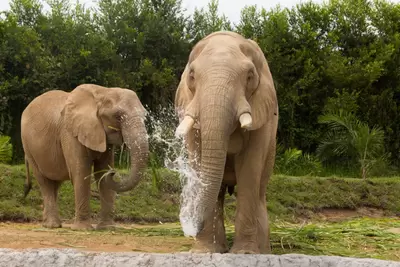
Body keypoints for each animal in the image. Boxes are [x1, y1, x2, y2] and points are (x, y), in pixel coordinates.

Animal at [21, 83, 150, 230]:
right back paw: (52, 225)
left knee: (55, 183)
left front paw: (107, 228)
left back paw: (49, 224)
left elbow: (101, 174)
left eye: (145, 116)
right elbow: (81, 172)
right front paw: (83, 229)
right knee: (44, 181)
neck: (103, 91)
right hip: (28, 145)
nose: (113, 171)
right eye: (118, 116)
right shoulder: (70, 133)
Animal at [173, 31, 280, 255]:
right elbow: (199, 162)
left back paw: (264, 252)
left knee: (259, 192)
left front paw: (245, 253)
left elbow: (249, 170)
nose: (189, 227)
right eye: (192, 76)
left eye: (249, 76)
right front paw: (205, 252)